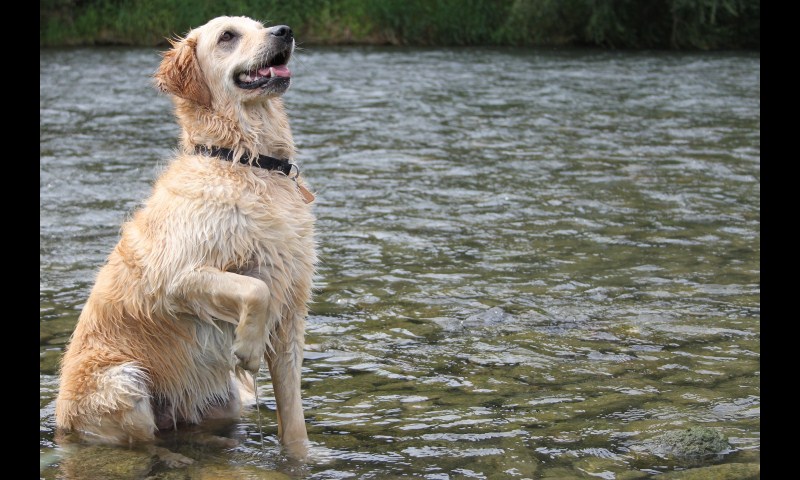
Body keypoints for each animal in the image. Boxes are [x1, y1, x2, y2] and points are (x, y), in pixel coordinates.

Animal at [53, 15, 314, 462]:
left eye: (260, 25)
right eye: (228, 36)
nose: (284, 30)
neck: (246, 160)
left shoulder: (292, 312)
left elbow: (293, 418)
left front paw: (302, 458)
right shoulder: (176, 276)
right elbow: (255, 287)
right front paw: (247, 347)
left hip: (220, 400)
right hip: (124, 382)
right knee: (146, 442)